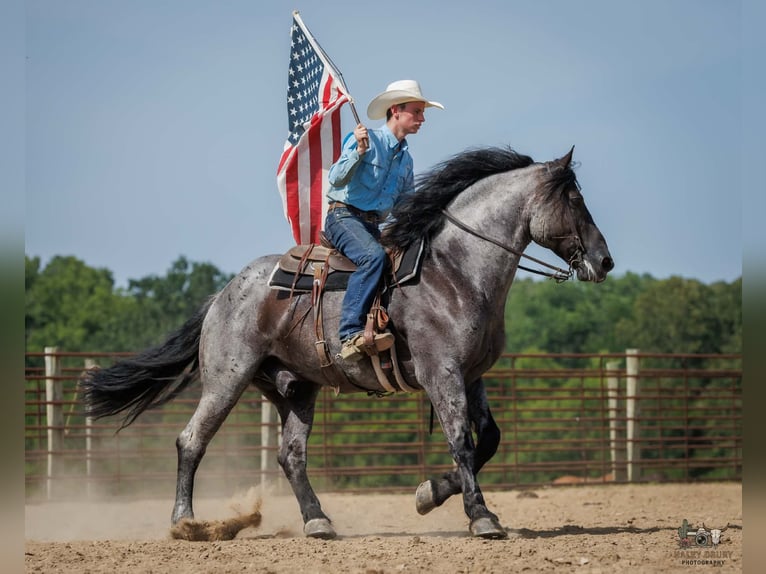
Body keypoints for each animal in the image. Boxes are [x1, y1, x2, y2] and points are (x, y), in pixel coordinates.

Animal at [80, 146, 614, 540]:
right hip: (225, 380)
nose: (605, 260)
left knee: (291, 456)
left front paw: (429, 494)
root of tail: (223, 293)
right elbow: (462, 441)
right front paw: (481, 517)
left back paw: (318, 522)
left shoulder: (473, 375)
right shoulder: (441, 373)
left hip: (296, 388)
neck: (455, 271)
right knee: (191, 440)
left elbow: (489, 440)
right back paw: (185, 524)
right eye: (573, 199)